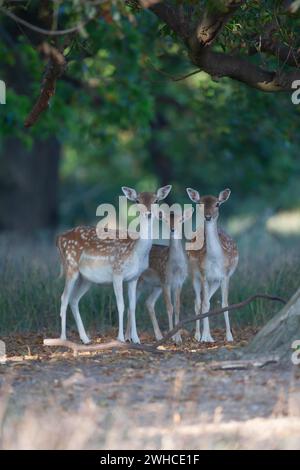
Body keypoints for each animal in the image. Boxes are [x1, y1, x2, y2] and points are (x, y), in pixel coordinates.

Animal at [56, 185, 171, 346]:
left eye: (156, 200)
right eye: (137, 200)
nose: (148, 214)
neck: (135, 251)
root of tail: (59, 238)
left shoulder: (134, 277)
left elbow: (132, 306)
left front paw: (136, 339)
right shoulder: (117, 271)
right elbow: (121, 305)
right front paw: (121, 338)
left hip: (86, 279)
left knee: (74, 299)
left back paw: (85, 339)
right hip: (71, 265)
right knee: (64, 298)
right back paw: (63, 338)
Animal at [125, 207, 193, 344]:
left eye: (181, 220)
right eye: (166, 220)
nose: (173, 229)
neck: (175, 268)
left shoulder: (179, 282)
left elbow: (177, 306)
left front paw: (178, 338)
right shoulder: (165, 280)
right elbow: (169, 307)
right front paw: (172, 337)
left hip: (156, 286)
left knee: (149, 302)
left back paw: (158, 336)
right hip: (140, 282)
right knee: (132, 305)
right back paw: (127, 337)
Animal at [185, 187, 239, 342]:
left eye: (217, 204)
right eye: (200, 203)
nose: (208, 217)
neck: (215, 259)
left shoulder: (225, 276)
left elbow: (224, 304)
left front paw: (229, 337)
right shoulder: (204, 275)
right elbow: (205, 304)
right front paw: (206, 337)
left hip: (215, 282)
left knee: (205, 300)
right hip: (194, 275)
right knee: (198, 302)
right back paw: (198, 335)